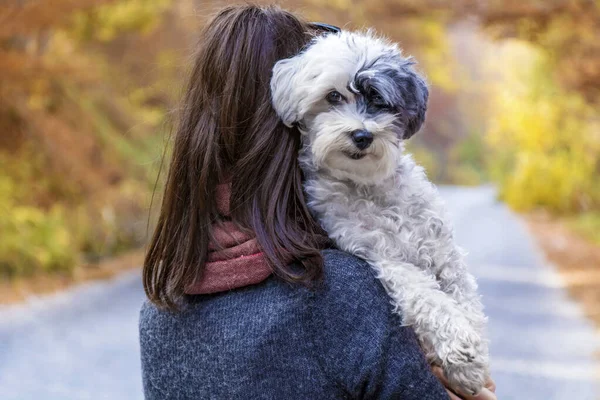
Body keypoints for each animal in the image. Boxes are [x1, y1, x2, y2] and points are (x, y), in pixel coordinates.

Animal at [270, 30, 490, 394]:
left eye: (380, 100)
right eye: (333, 96)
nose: (362, 135)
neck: (369, 187)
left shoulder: (445, 254)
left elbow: (466, 300)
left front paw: (470, 364)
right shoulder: (384, 260)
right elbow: (428, 299)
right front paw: (460, 348)